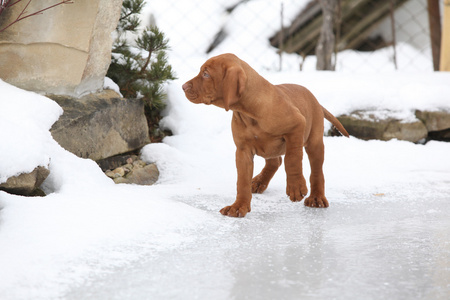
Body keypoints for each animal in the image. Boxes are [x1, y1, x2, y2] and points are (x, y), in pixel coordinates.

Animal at [182, 54, 348, 217]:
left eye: (206, 74)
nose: (183, 86)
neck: (249, 112)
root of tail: (315, 100)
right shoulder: (243, 151)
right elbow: (242, 181)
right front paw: (238, 206)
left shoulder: (297, 126)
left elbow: (292, 159)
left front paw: (295, 187)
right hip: (270, 147)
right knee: (275, 161)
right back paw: (258, 182)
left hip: (314, 142)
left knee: (316, 171)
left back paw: (316, 198)